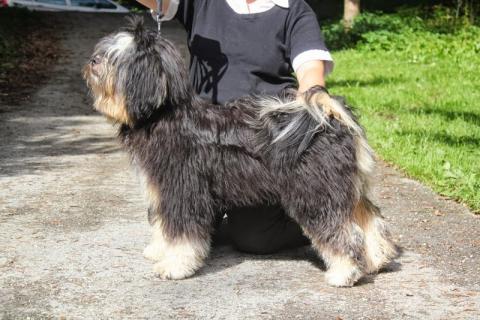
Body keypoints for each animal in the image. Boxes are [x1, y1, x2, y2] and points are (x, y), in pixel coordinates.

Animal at [82, 18, 398, 288]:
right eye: (105, 50)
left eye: (118, 57)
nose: (93, 61)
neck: (164, 115)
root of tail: (331, 119)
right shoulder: (161, 190)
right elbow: (163, 224)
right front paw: (159, 250)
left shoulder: (184, 189)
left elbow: (182, 232)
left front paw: (175, 266)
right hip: (346, 188)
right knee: (369, 219)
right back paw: (377, 259)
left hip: (315, 192)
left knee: (341, 231)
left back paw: (344, 273)